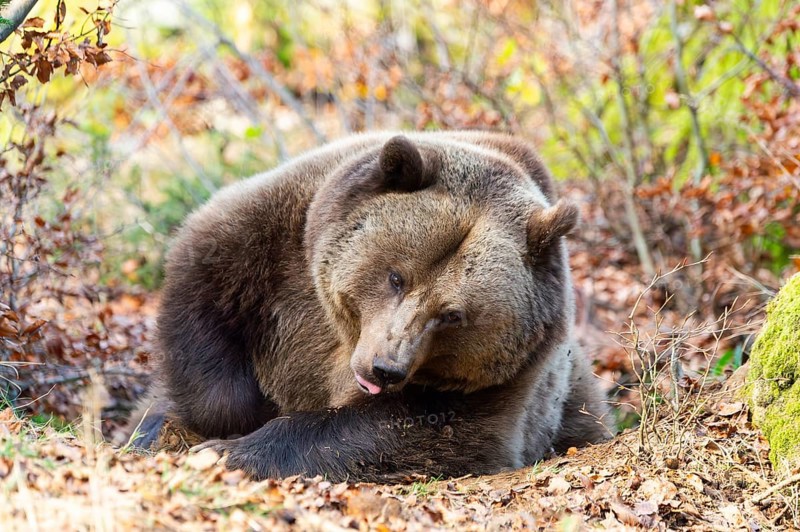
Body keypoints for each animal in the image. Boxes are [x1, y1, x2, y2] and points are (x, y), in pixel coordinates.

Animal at [124, 131, 611, 482]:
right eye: (397, 277)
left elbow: (416, 432)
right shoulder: (274, 242)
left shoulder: (510, 379)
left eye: (452, 315)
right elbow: (204, 300)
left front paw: (229, 451)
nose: (385, 368)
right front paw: (217, 426)